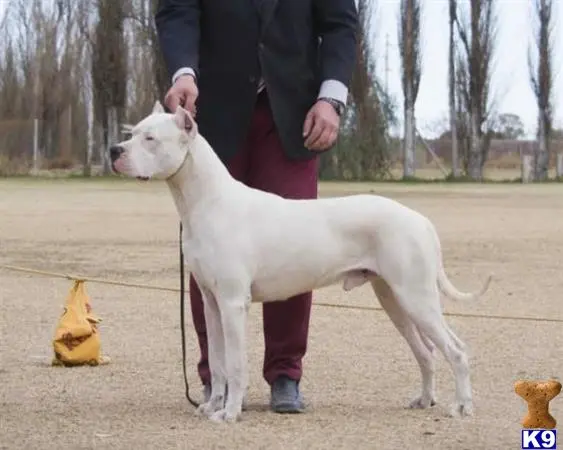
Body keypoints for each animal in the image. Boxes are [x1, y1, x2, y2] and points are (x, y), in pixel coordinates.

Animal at [110, 101, 490, 422]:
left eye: (150, 138)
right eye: (132, 133)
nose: (115, 150)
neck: (206, 200)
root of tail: (420, 220)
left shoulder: (233, 303)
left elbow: (235, 364)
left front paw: (230, 413)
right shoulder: (212, 303)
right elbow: (217, 364)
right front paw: (212, 406)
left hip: (416, 298)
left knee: (456, 350)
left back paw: (462, 407)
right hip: (394, 299)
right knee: (426, 352)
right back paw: (424, 400)